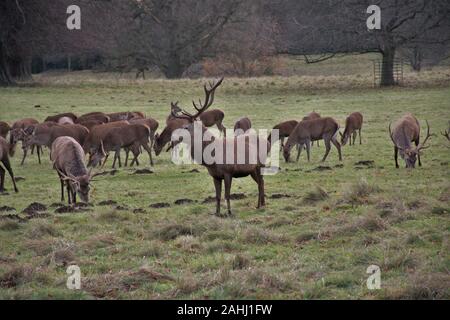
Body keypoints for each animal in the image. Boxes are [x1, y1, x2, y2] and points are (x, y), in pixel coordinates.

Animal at [169, 78, 268, 216]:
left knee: (261, 182)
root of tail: (268, 142)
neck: (212, 159)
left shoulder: (228, 172)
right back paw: (262, 204)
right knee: (261, 182)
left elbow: (227, 195)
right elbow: (217, 196)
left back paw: (259, 205)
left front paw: (229, 212)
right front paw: (217, 213)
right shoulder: (215, 176)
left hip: (260, 165)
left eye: (186, 127)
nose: (174, 137)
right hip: (252, 169)